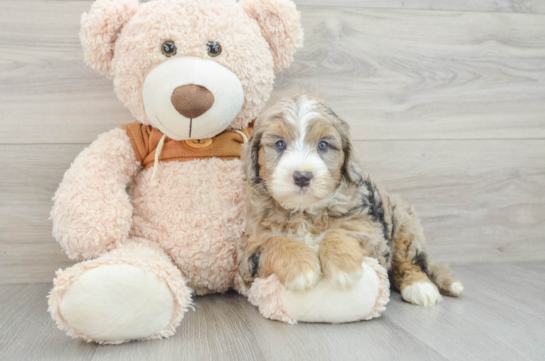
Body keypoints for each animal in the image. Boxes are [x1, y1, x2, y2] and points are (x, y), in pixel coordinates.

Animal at [238, 95, 464, 304]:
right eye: (279, 144)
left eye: (323, 145)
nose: (302, 176)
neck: (305, 212)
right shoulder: (248, 251)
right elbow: (275, 241)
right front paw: (301, 268)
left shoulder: (371, 233)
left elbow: (340, 232)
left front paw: (342, 267)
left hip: (403, 222)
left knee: (411, 259)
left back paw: (420, 287)